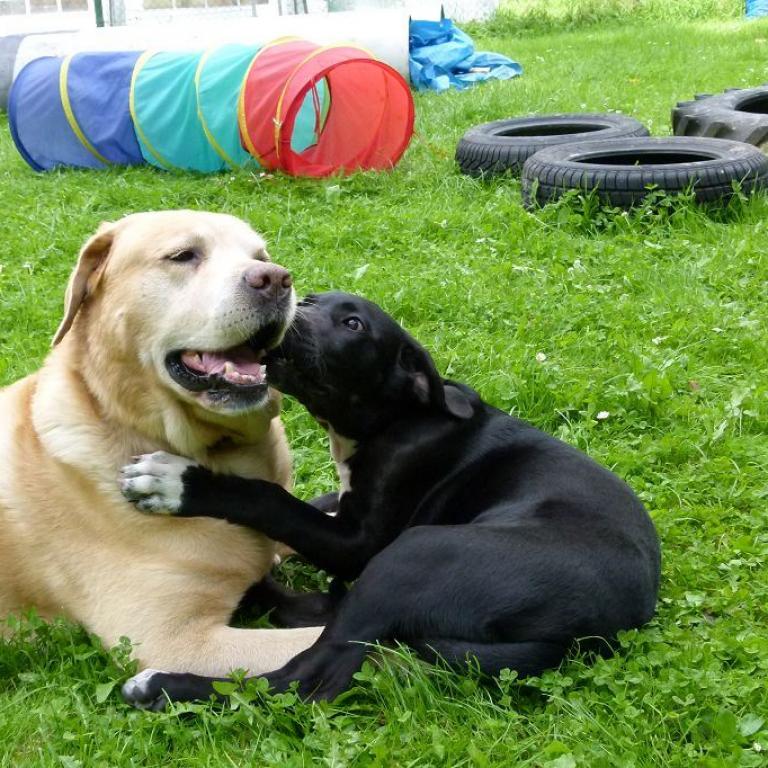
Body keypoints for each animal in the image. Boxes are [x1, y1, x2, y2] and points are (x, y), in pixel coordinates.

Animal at [119, 291, 661, 707]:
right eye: (310, 302)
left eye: (353, 324)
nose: (286, 310)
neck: (395, 418)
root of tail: (588, 637)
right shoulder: (344, 508)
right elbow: (312, 502)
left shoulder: (359, 544)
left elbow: (273, 500)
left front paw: (178, 483)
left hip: (414, 553)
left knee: (307, 677)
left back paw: (162, 686)